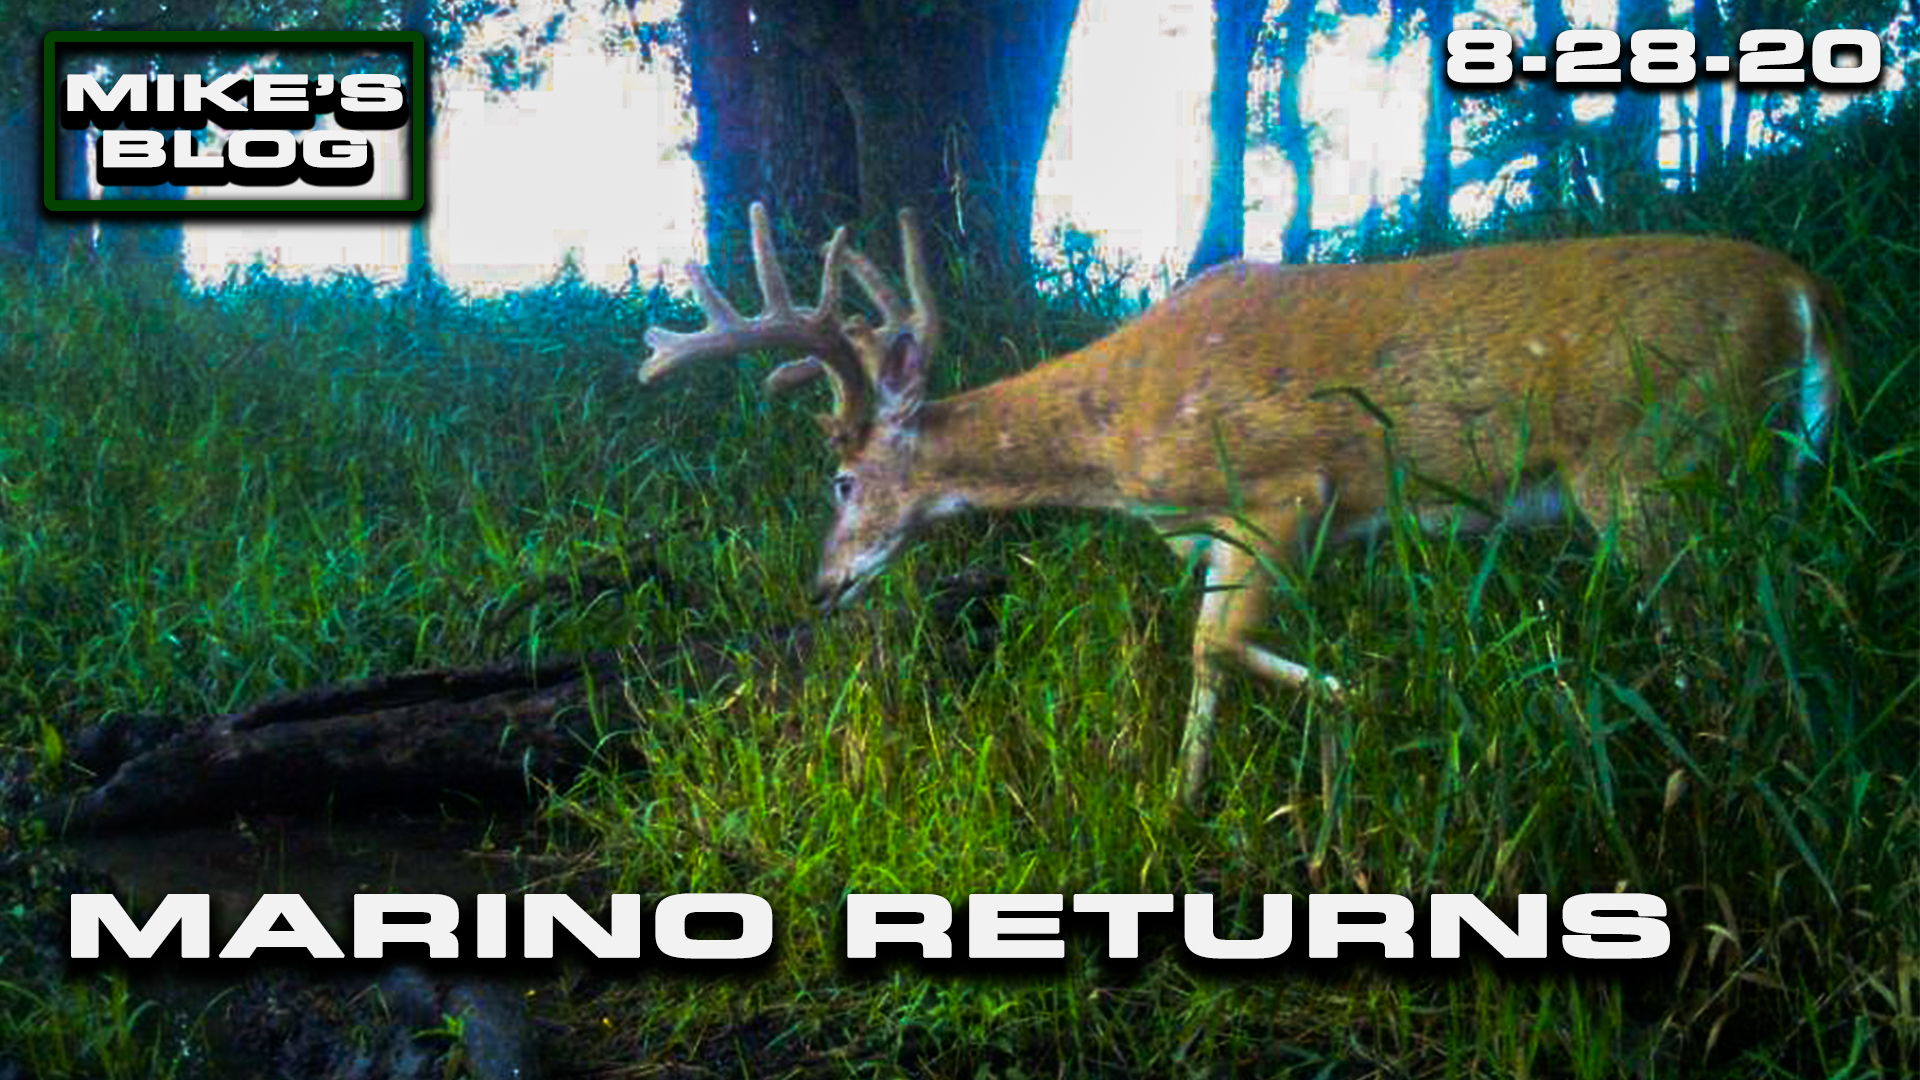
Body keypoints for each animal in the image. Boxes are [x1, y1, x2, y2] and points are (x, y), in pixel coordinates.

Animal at [639, 203, 1840, 807]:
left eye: (842, 481)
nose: (823, 585)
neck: (1118, 443)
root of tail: (1805, 295)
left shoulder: (1289, 486)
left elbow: (1213, 646)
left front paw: (1357, 718)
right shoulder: (1217, 534)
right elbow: (1207, 653)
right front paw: (1186, 807)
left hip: (1654, 461)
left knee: (1715, 638)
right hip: (1750, 467)